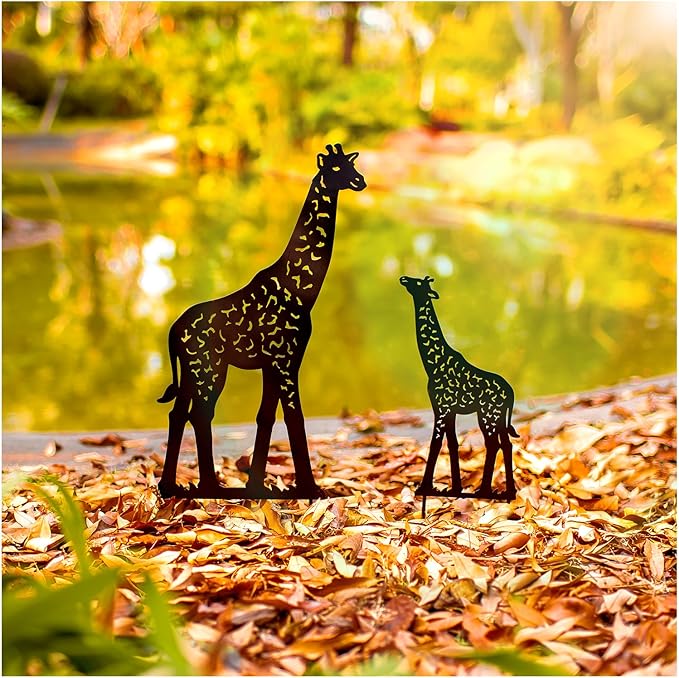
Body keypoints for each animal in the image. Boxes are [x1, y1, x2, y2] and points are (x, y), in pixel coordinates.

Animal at [158, 143, 366, 499]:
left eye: (350, 166)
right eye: (336, 169)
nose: (361, 181)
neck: (301, 289)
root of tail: (173, 332)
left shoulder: (273, 363)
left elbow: (266, 416)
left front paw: (257, 484)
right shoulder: (286, 359)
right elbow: (295, 418)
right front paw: (311, 488)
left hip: (192, 370)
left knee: (179, 412)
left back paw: (172, 485)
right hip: (209, 368)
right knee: (200, 414)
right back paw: (210, 486)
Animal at [400, 275, 518, 510]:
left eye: (418, 283)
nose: (404, 278)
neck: (433, 363)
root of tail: (510, 394)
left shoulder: (441, 408)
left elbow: (436, 443)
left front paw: (425, 487)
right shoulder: (449, 410)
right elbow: (452, 443)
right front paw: (454, 488)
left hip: (487, 415)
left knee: (493, 444)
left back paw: (485, 490)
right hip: (497, 418)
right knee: (506, 444)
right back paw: (506, 491)